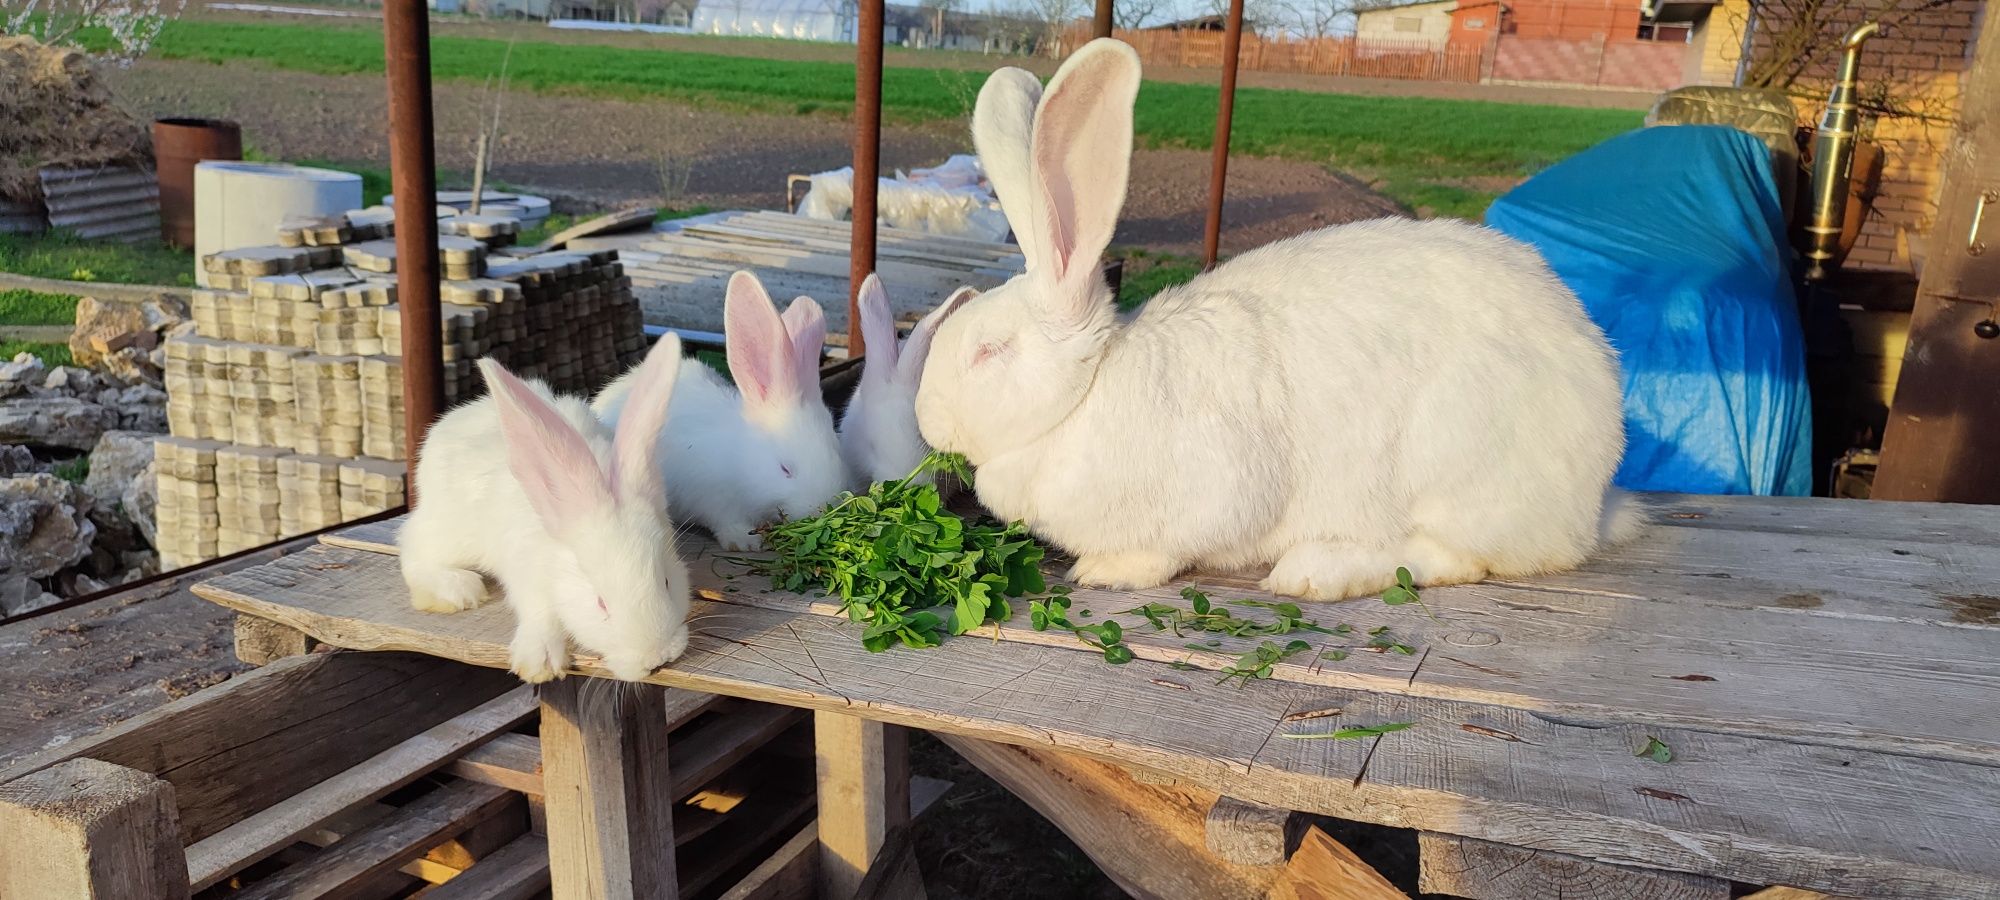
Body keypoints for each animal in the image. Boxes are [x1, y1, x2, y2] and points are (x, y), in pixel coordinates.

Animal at [398, 332, 696, 684]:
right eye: (601, 603)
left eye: (666, 582)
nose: (657, 660)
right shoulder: (528, 576)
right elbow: (540, 615)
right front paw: (539, 662)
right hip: (448, 530)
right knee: (411, 548)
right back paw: (457, 591)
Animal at [588, 268, 848, 548]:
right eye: (785, 469)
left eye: (837, 451)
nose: (825, 507)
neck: (739, 459)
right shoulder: (714, 500)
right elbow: (726, 522)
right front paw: (745, 541)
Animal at [916, 44, 1640, 604]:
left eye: (989, 350)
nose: (925, 417)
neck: (1086, 393)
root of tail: (1593, 499)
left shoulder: (1212, 493)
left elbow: (1162, 552)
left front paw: (1105, 572)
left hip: (1460, 473)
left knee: (1455, 559)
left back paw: (1317, 571)